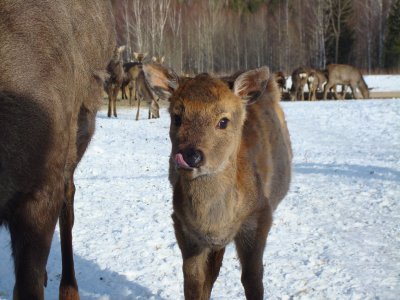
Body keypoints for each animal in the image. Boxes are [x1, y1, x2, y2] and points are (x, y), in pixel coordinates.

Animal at [145, 62, 292, 298]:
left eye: (223, 121)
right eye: (177, 117)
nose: (190, 155)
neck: (215, 226)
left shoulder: (259, 216)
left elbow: (253, 279)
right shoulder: (183, 225)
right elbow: (193, 281)